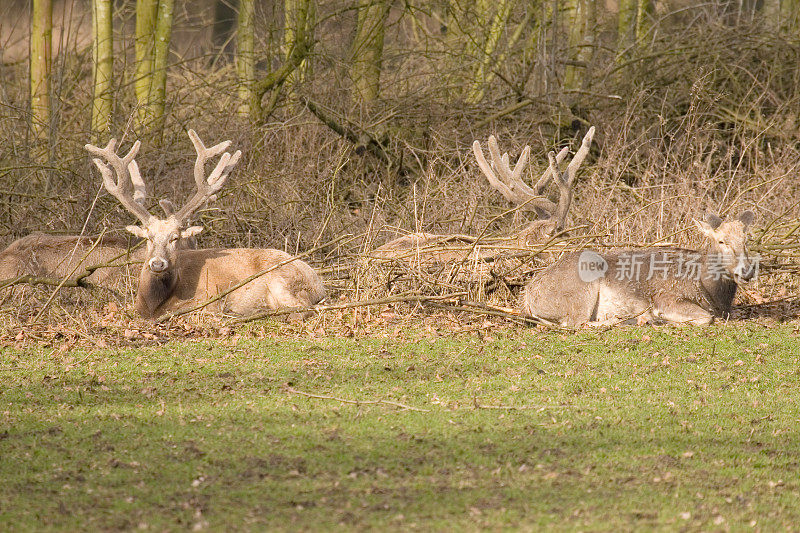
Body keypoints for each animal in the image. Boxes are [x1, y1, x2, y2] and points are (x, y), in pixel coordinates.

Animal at [84, 130, 324, 318]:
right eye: (149, 237)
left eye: (175, 238)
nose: (158, 263)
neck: (152, 304)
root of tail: (319, 284)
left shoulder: (208, 297)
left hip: (282, 279)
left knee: (303, 309)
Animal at [520, 211, 760, 326]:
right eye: (721, 241)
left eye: (746, 240)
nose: (746, 271)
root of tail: (528, 298)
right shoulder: (667, 298)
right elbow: (705, 318)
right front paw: (658, 319)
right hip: (580, 294)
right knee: (575, 324)